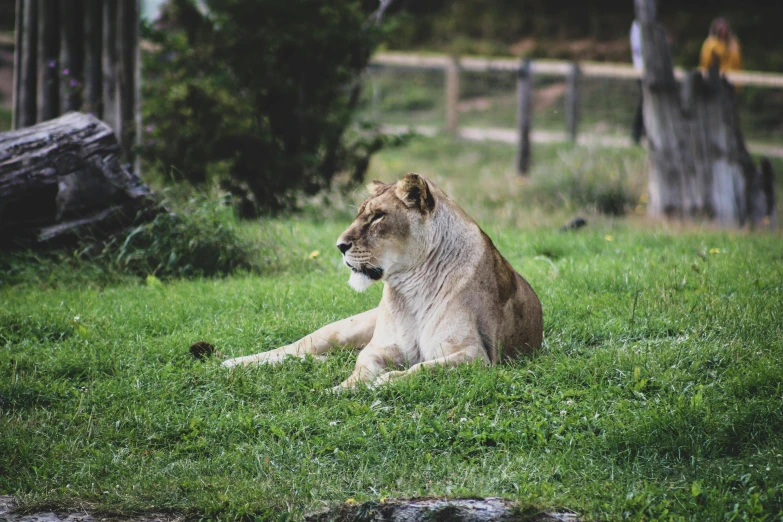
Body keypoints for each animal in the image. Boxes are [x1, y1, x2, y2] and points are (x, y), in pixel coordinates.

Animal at [219, 172, 540, 386]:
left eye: (377, 217)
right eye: (361, 214)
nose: (339, 245)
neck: (411, 287)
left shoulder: (474, 354)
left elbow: (419, 369)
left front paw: (382, 383)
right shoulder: (379, 347)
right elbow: (361, 367)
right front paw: (344, 388)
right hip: (341, 330)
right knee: (293, 348)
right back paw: (232, 362)